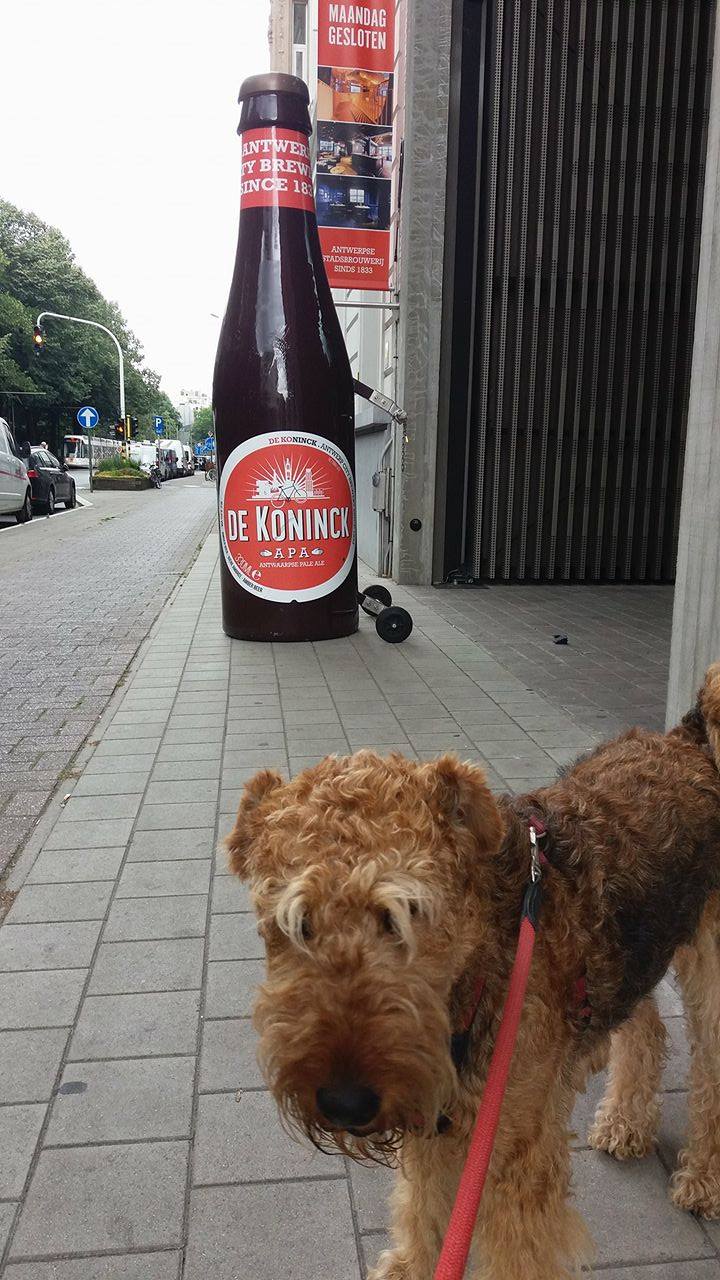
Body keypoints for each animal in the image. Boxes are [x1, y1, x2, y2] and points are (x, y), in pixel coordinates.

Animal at [227, 664, 720, 1279]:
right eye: (296, 922)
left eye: (408, 913)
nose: (345, 1102)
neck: (480, 968)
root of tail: (687, 737)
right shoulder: (434, 1127)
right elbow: (422, 1210)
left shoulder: (512, 1160)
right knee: (645, 1028)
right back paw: (623, 1124)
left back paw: (701, 1181)